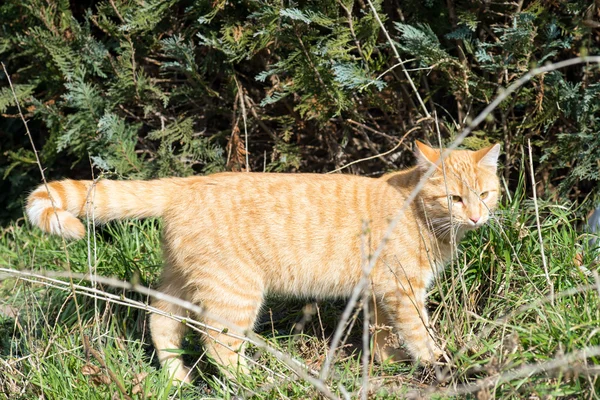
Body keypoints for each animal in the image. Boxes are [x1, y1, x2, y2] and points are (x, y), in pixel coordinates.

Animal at [24, 141, 502, 382]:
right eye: (455, 198)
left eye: (485, 194)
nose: (477, 217)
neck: (419, 211)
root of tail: (189, 182)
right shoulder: (403, 290)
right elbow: (419, 333)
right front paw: (439, 364)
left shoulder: (379, 291)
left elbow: (381, 334)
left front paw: (388, 363)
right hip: (234, 292)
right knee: (217, 344)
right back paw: (257, 381)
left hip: (181, 281)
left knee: (161, 322)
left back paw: (178, 380)